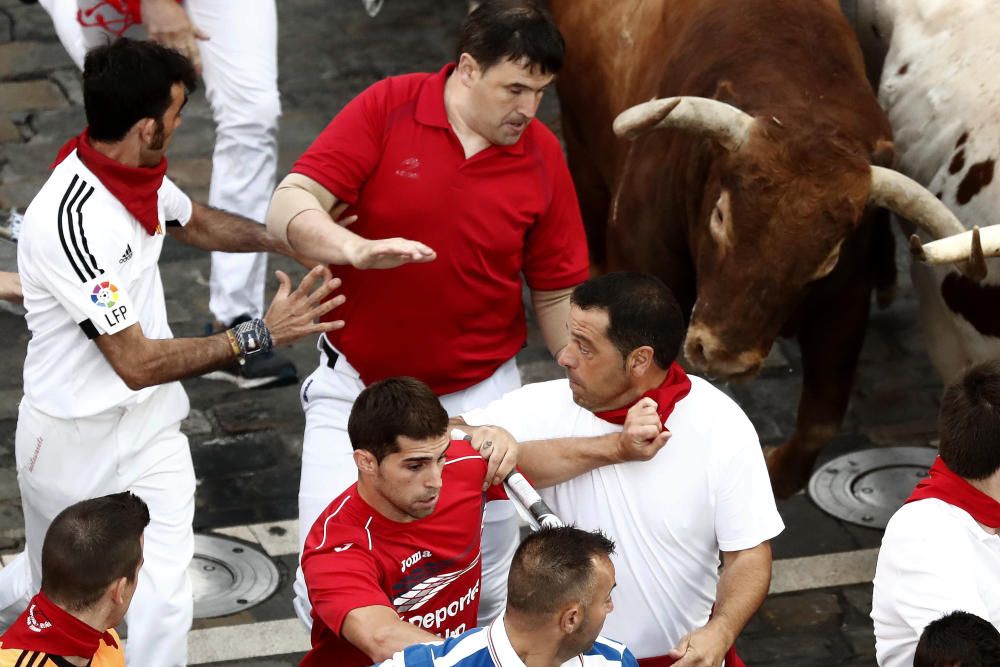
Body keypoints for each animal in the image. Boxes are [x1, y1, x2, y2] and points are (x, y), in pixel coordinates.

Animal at [548, 0, 968, 494]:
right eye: (720, 215)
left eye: (828, 258)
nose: (724, 357)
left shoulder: (843, 301)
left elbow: (822, 420)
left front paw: (777, 477)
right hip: (580, 144)